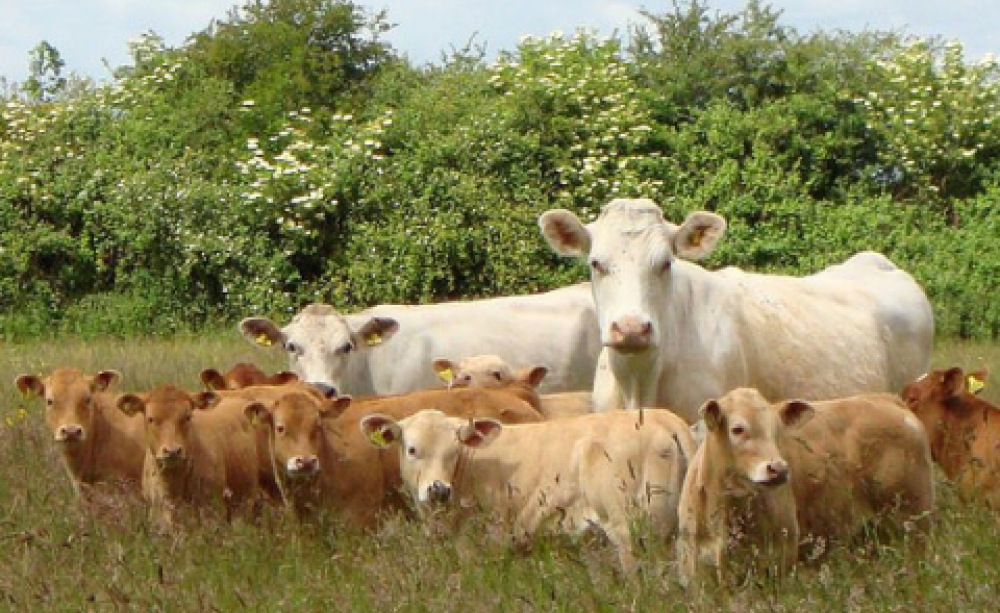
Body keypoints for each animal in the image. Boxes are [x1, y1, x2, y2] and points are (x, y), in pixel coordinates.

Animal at [361, 408, 695, 571]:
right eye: (412, 449)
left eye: (453, 452)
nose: (438, 490)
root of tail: (664, 418)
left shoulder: (483, 542)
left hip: (632, 529)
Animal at [676, 388, 935, 586]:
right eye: (737, 429)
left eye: (778, 431)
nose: (778, 468)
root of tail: (888, 400)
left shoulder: (778, 562)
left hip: (913, 524)